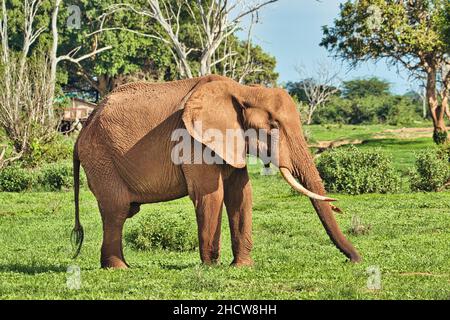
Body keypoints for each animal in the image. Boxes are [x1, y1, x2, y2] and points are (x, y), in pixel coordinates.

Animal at [73, 75, 362, 270]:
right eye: (273, 126)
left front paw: (243, 266)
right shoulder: (192, 140)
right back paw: (119, 268)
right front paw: (211, 266)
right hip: (101, 158)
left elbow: (241, 194)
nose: (356, 260)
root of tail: (83, 127)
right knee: (117, 209)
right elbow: (210, 195)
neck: (245, 91)